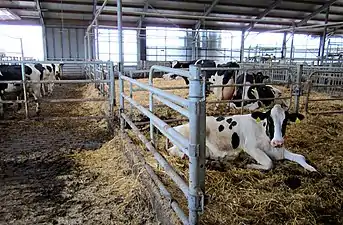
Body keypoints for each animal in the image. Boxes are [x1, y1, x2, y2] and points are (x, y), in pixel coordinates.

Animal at [167, 103, 318, 172]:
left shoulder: (278, 150)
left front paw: (311, 168)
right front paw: (250, 164)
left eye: (285, 122)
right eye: (269, 120)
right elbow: (269, 163)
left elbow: (300, 157)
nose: (278, 142)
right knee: (172, 150)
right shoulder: (250, 147)